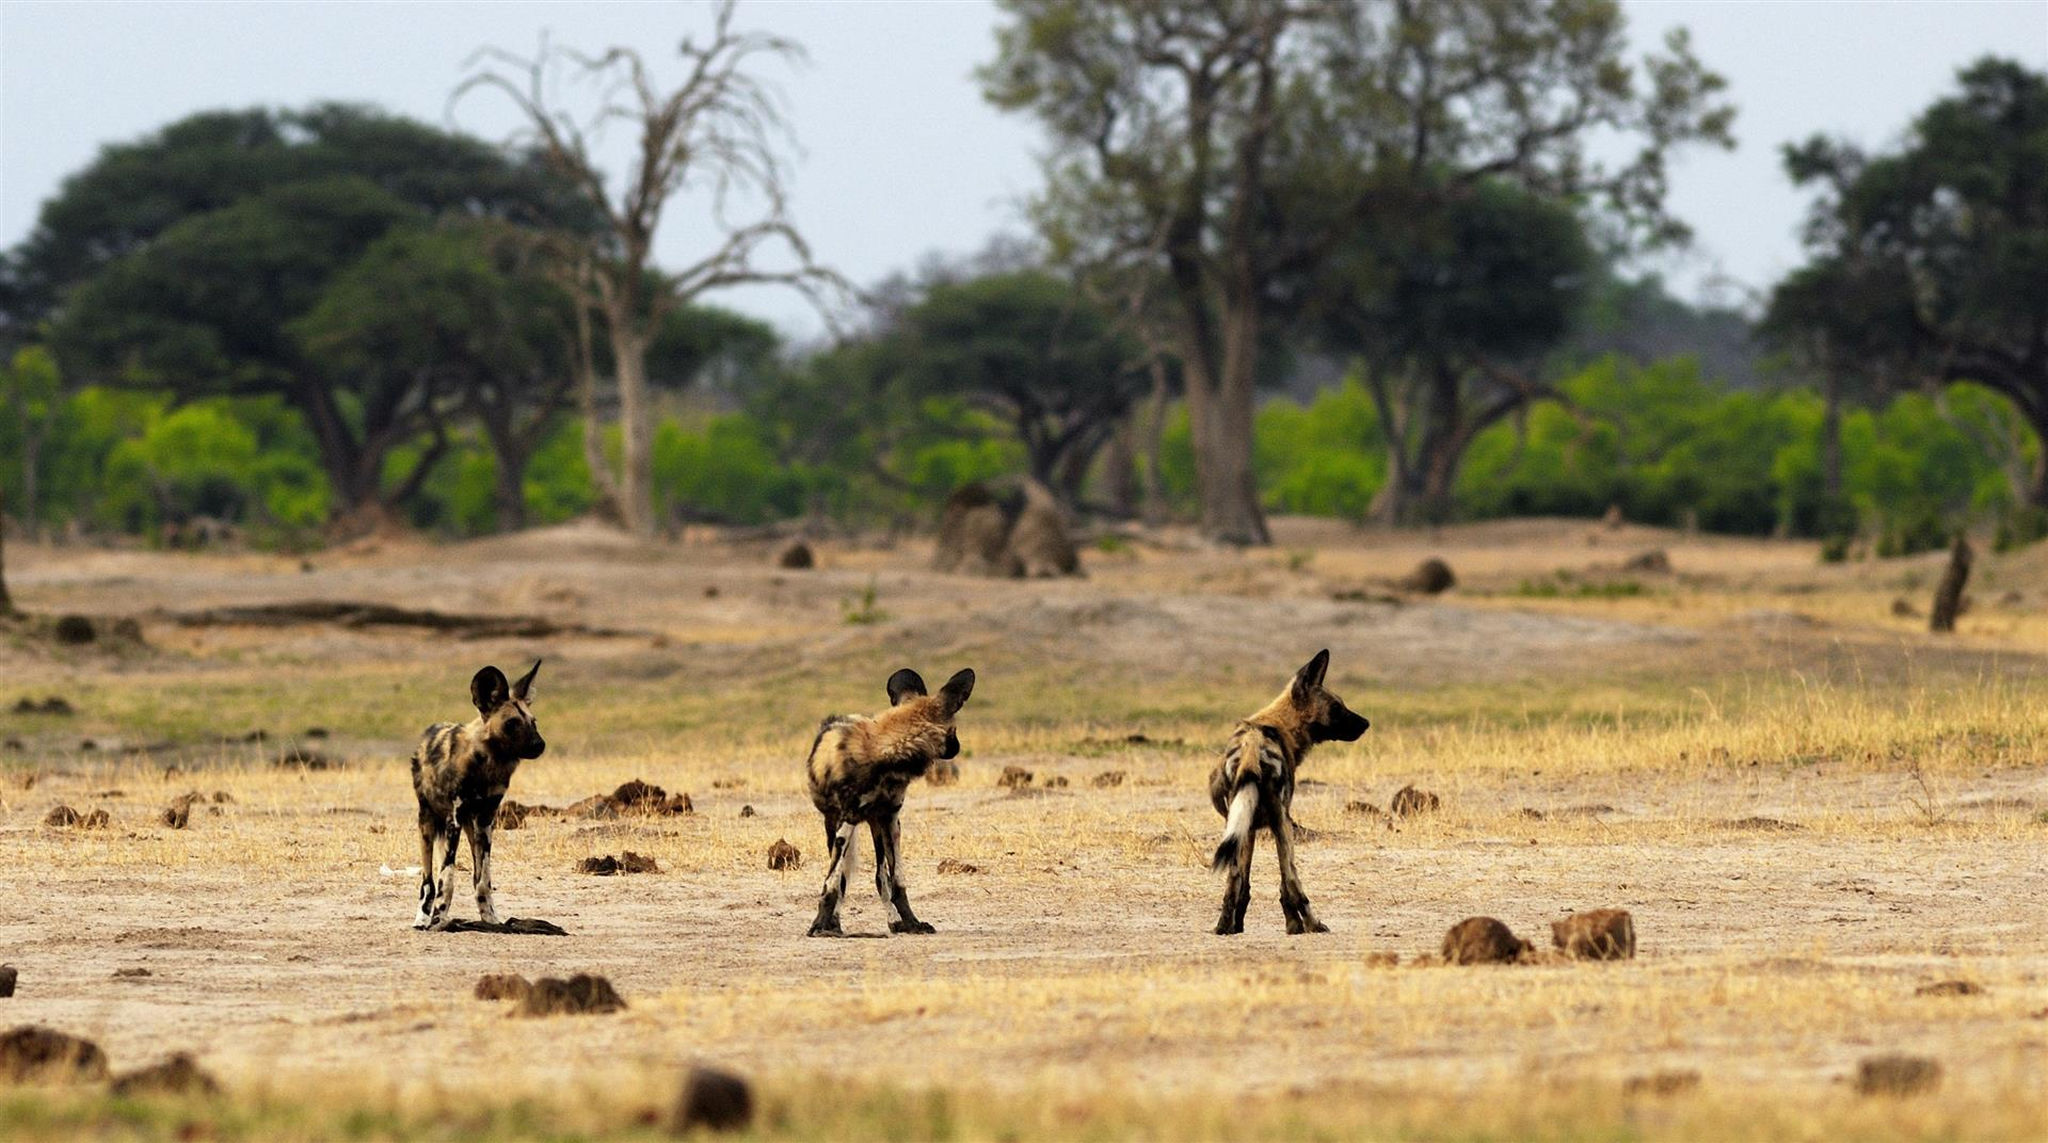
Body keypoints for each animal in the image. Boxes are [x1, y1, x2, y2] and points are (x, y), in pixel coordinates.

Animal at [409, 663, 544, 934]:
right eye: (512, 723)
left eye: (533, 722)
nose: (540, 744)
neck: (488, 765)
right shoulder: (454, 820)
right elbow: (447, 878)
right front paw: (439, 920)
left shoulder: (486, 820)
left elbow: (483, 879)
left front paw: (490, 919)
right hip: (427, 824)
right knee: (428, 881)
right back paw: (422, 918)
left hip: (471, 828)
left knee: (473, 876)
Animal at [798, 667, 974, 938]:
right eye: (953, 730)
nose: (957, 748)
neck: (885, 754)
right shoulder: (847, 819)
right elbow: (833, 883)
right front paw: (821, 924)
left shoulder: (890, 819)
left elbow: (897, 882)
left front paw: (911, 923)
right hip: (835, 825)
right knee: (842, 878)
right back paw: (834, 923)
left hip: (876, 826)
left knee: (881, 877)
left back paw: (894, 922)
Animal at [1204, 655, 1368, 942]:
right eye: (1337, 707)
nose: (1366, 723)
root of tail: (1251, 746)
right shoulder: (1281, 823)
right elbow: (1286, 884)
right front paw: (1296, 926)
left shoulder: (1246, 828)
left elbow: (1242, 884)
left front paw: (1236, 925)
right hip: (1283, 823)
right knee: (1292, 879)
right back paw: (1314, 924)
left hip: (1238, 828)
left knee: (1232, 877)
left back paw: (1222, 927)